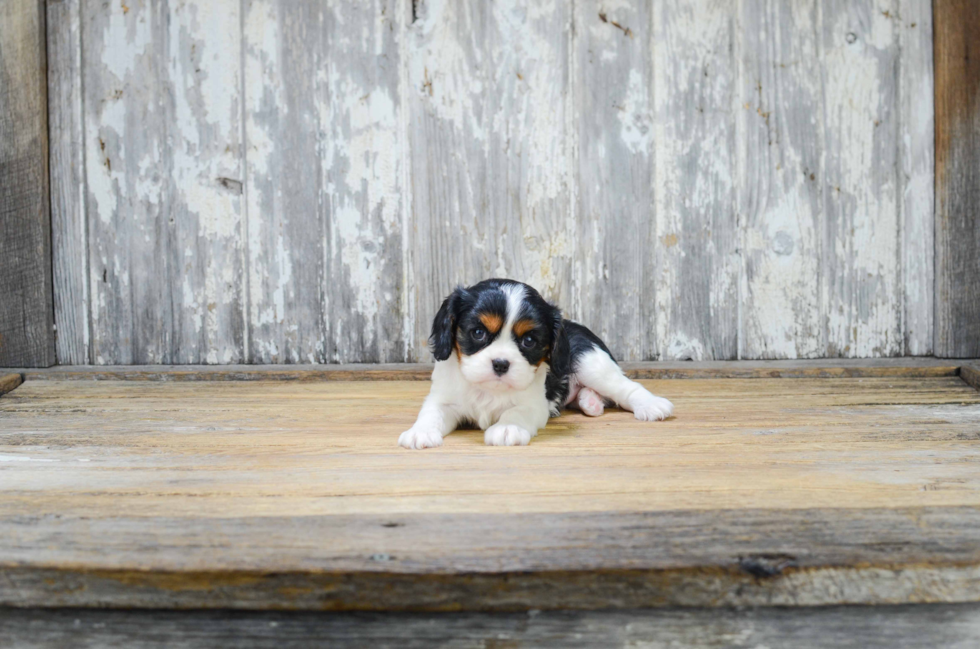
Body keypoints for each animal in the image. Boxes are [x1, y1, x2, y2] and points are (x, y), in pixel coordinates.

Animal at [398, 276, 672, 448]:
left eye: (529, 340)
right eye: (477, 333)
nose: (501, 363)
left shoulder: (532, 405)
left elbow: (515, 412)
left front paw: (507, 428)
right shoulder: (443, 399)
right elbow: (431, 413)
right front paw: (420, 432)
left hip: (592, 364)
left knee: (625, 388)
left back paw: (650, 405)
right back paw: (589, 402)